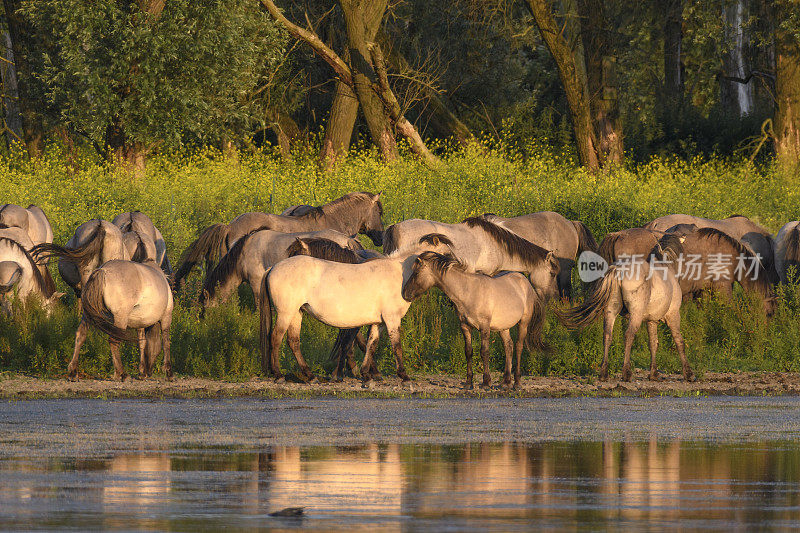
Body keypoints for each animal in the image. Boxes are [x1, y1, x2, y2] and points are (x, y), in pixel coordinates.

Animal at [400, 251, 544, 388]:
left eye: (416, 272)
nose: (405, 294)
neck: (468, 291)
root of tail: (525, 281)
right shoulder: (465, 326)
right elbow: (468, 352)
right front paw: (468, 382)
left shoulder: (484, 327)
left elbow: (484, 352)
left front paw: (486, 382)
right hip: (504, 327)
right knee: (508, 346)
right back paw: (506, 382)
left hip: (523, 323)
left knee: (519, 346)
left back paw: (517, 382)